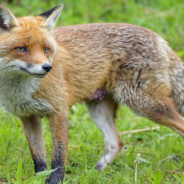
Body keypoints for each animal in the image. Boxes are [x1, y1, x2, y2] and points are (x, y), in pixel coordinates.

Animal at [0, 2, 184, 184]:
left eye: (46, 49)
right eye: (21, 49)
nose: (47, 67)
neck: (19, 90)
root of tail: (158, 37)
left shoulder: (59, 111)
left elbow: (59, 157)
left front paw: (55, 181)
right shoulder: (27, 116)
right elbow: (38, 157)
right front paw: (38, 179)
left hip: (145, 104)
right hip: (99, 110)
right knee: (115, 142)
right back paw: (96, 173)